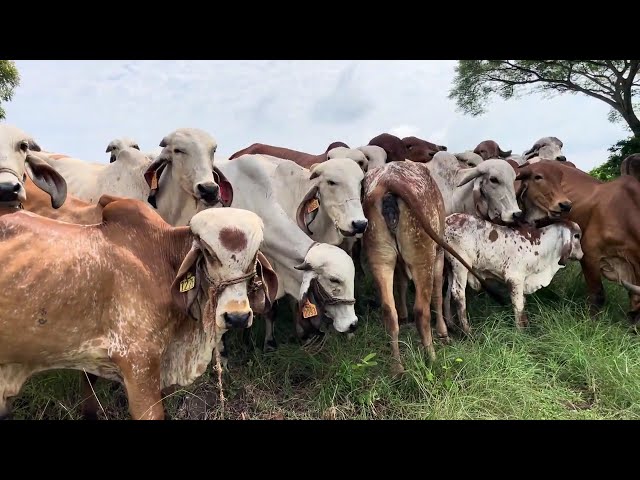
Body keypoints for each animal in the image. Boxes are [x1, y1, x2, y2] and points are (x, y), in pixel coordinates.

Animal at [360, 161, 504, 376]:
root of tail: (389, 181)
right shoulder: (439, 253)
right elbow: (438, 293)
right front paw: (443, 332)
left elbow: (402, 284)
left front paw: (405, 316)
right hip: (424, 256)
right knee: (422, 309)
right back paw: (432, 357)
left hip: (380, 257)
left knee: (389, 310)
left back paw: (397, 366)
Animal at [442, 215, 584, 334]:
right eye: (576, 236)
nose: (582, 255)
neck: (540, 246)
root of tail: (448, 219)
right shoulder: (515, 279)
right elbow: (518, 305)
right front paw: (520, 331)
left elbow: (523, 302)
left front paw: (526, 325)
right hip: (460, 265)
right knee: (458, 293)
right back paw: (467, 331)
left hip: (451, 267)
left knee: (448, 292)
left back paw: (451, 325)